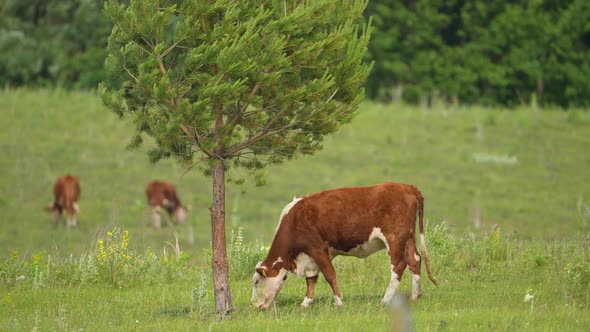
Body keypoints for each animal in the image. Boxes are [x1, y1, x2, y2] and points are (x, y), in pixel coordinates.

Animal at [252, 182, 438, 308]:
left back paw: (385, 300)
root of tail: (407, 187)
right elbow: (311, 279)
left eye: (256, 282)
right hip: (408, 237)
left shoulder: (318, 248)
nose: (256, 306)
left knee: (399, 265)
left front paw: (339, 302)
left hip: (395, 238)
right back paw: (415, 296)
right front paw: (306, 302)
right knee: (415, 260)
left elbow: (329, 275)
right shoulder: (310, 257)